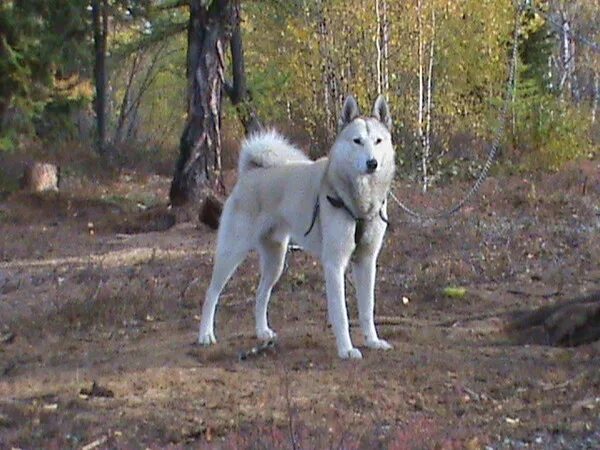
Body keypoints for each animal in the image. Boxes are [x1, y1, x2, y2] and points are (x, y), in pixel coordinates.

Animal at [199, 95, 396, 358]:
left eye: (378, 141)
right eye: (357, 141)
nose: (372, 163)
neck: (358, 201)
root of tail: (250, 172)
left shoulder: (366, 261)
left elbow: (367, 308)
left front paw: (373, 341)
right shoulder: (334, 263)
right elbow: (341, 314)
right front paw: (346, 349)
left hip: (276, 260)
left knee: (261, 294)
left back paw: (262, 332)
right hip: (232, 252)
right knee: (211, 293)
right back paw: (205, 334)